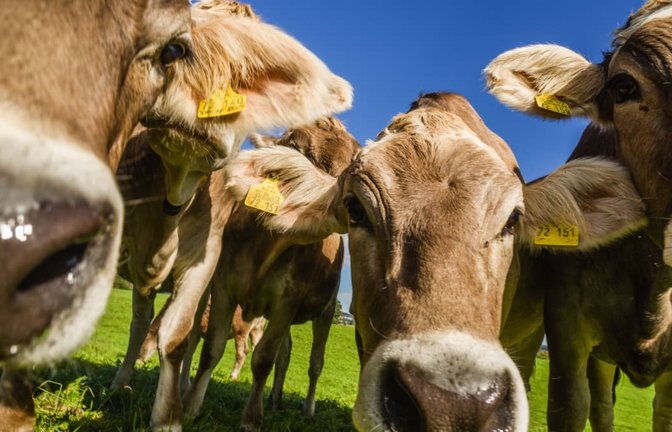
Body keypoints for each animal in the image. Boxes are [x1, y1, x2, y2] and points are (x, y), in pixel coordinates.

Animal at [110, 1, 352, 430]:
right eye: (297, 149)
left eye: (349, 164)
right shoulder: (221, 286)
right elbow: (206, 346)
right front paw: (189, 405)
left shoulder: (240, 279)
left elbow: (241, 353)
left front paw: (239, 417)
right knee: (144, 322)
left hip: (323, 314)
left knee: (311, 361)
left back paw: (299, 407)